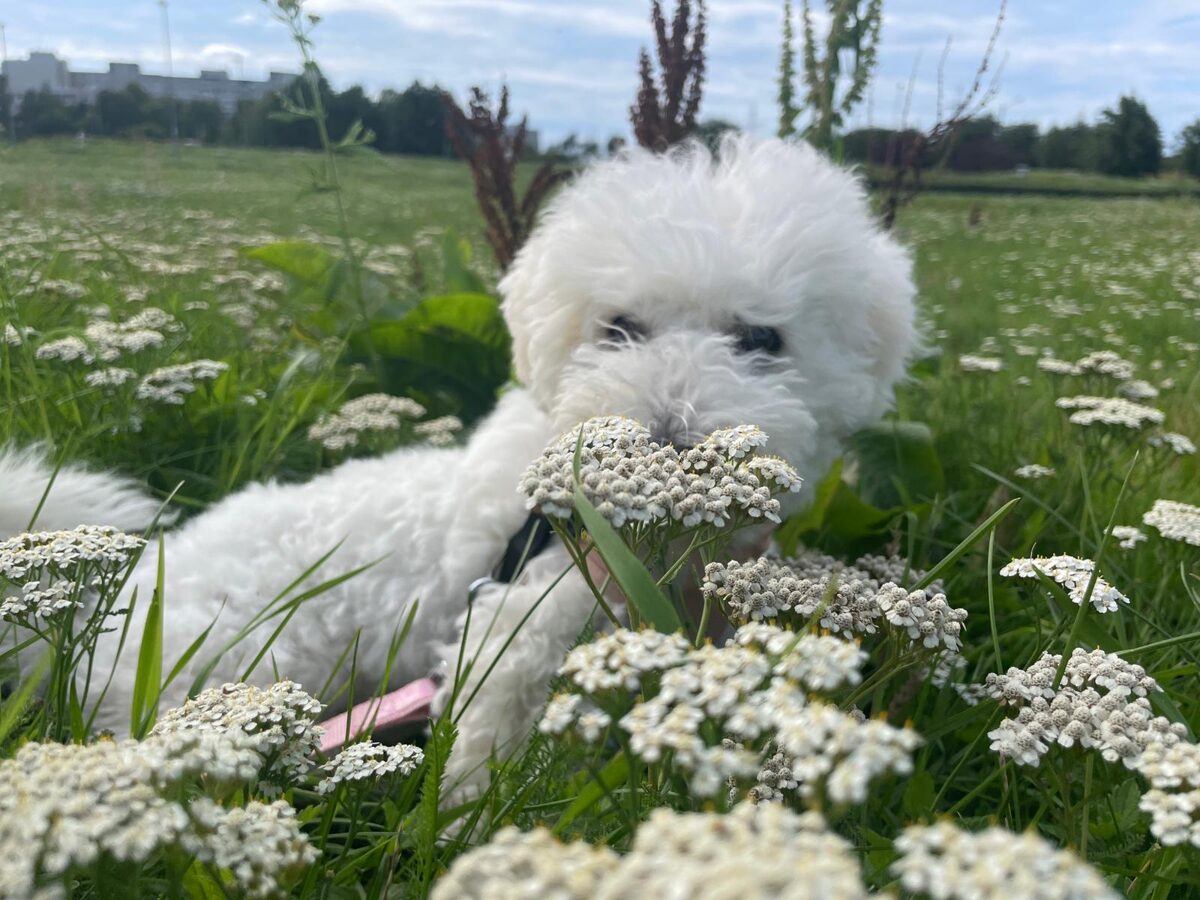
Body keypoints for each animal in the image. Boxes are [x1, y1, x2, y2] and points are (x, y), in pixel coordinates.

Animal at [0, 133, 912, 796]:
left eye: (762, 340)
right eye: (619, 328)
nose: (666, 437)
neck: (647, 547)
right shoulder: (521, 625)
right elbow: (492, 744)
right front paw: (471, 819)